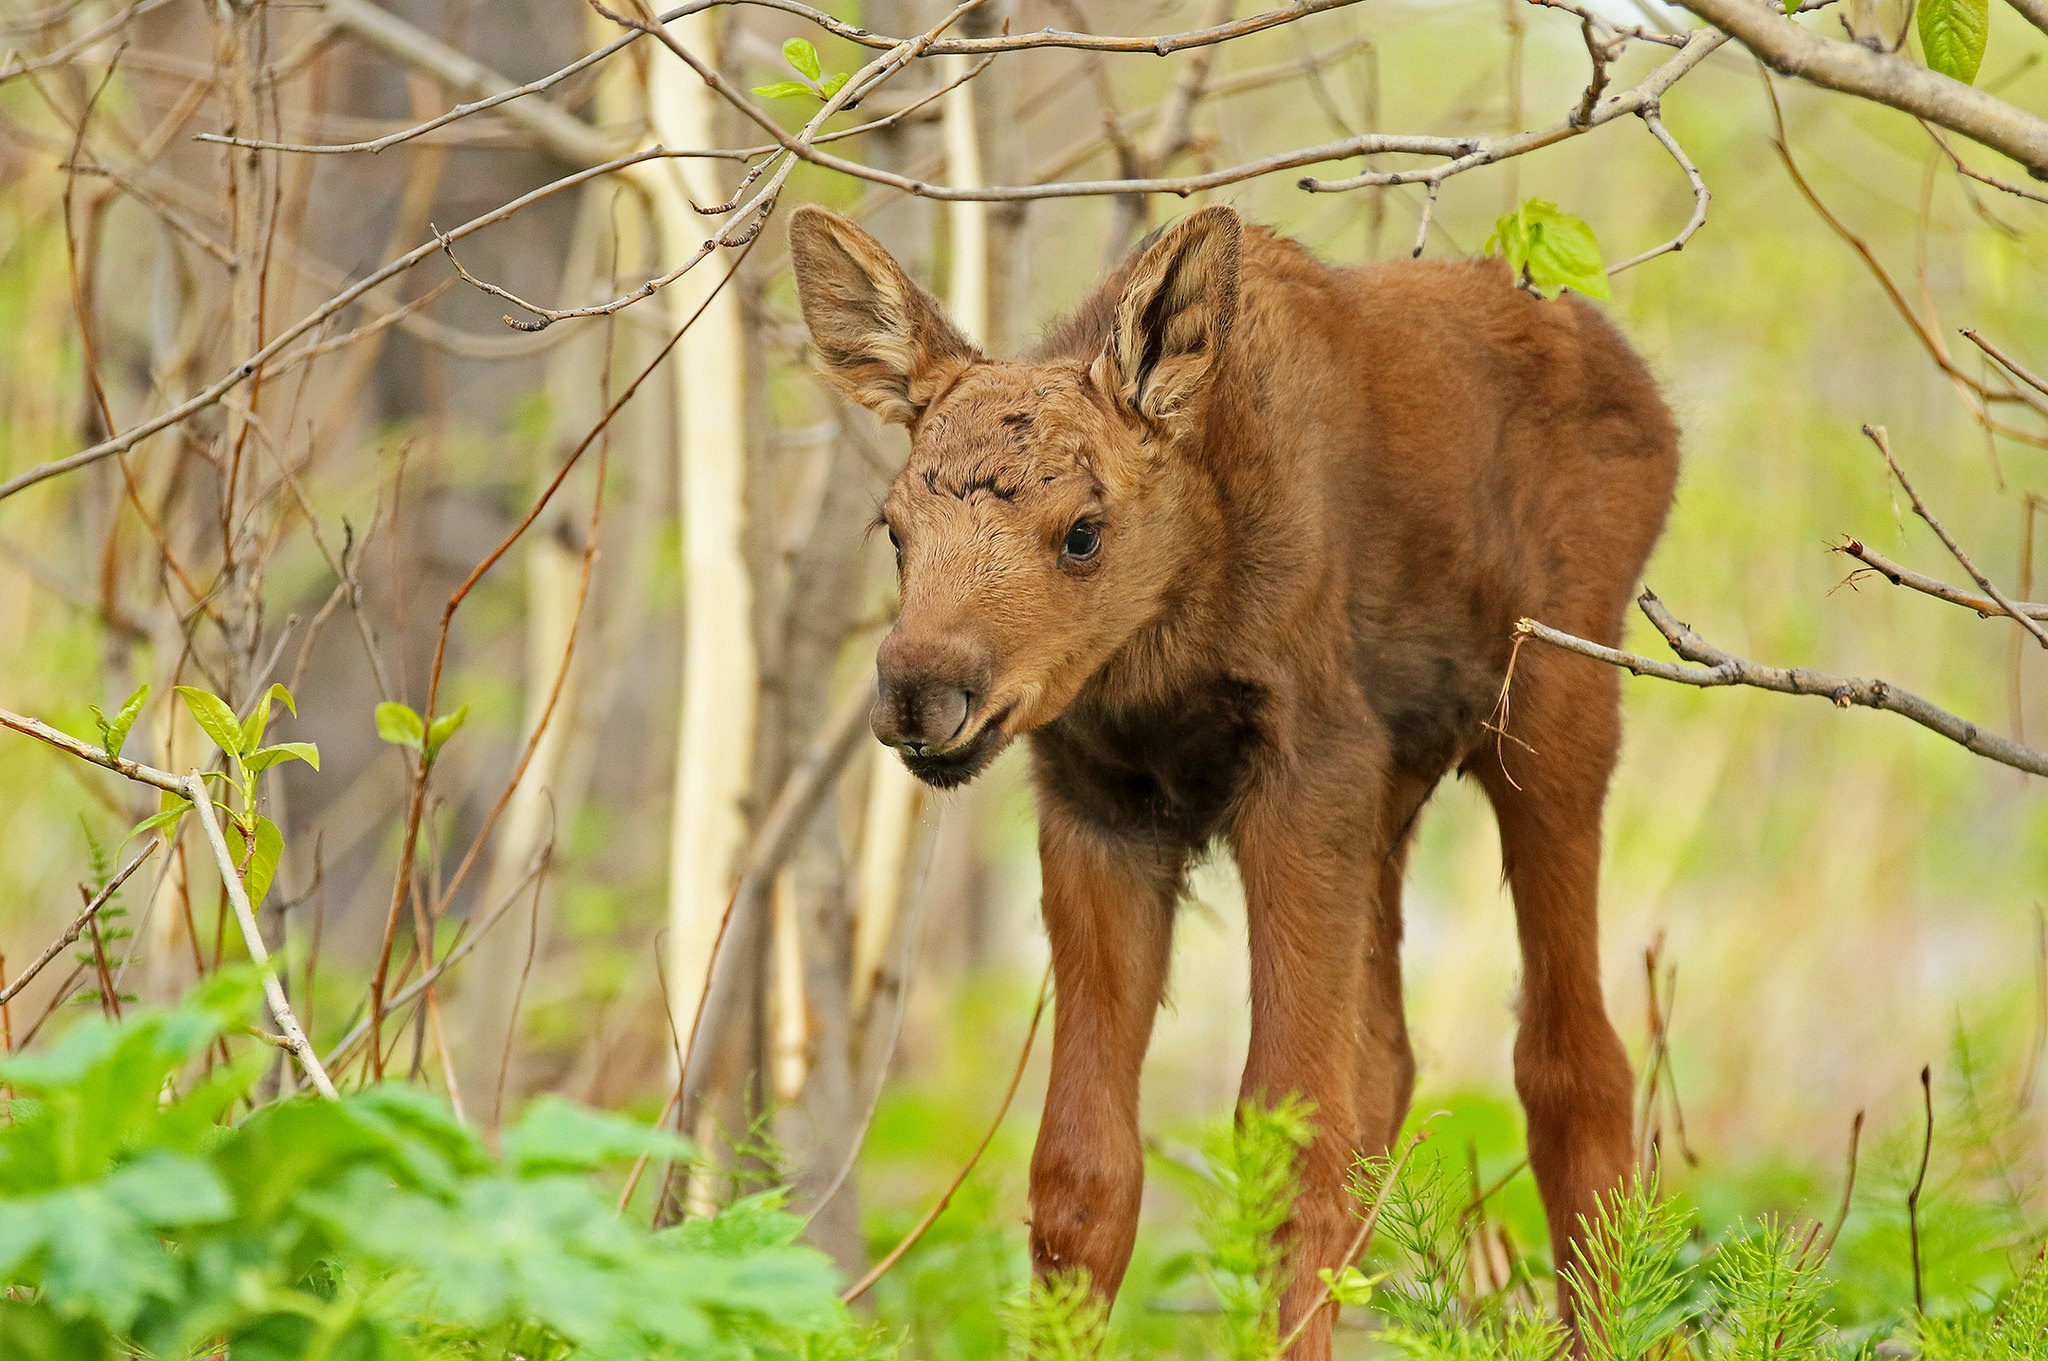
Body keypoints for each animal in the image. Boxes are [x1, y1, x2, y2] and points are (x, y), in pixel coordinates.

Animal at [790, 199, 1671, 1350]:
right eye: (893, 530)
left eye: (1082, 532)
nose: (921, 692)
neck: (1167, 644)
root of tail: (1651, 400)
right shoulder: (1099, 805)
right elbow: (1082, 1168)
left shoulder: (1302, 777)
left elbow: (1286, 1143)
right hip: (1391, 801)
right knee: (1389, 1063)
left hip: (1555, 715)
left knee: (1574, 1065)